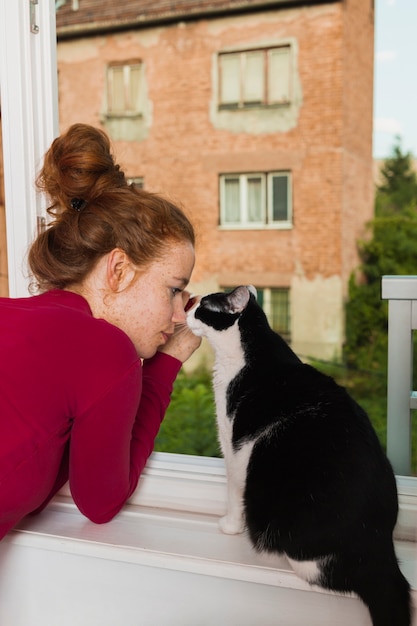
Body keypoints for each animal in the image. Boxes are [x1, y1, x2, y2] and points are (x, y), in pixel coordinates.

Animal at [187, 286, 412, 620]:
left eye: (202, 306)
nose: (186, 308)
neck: (251, 349)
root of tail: (378, 546)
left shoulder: (234, 447)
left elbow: (233, 491)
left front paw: (229, 526)